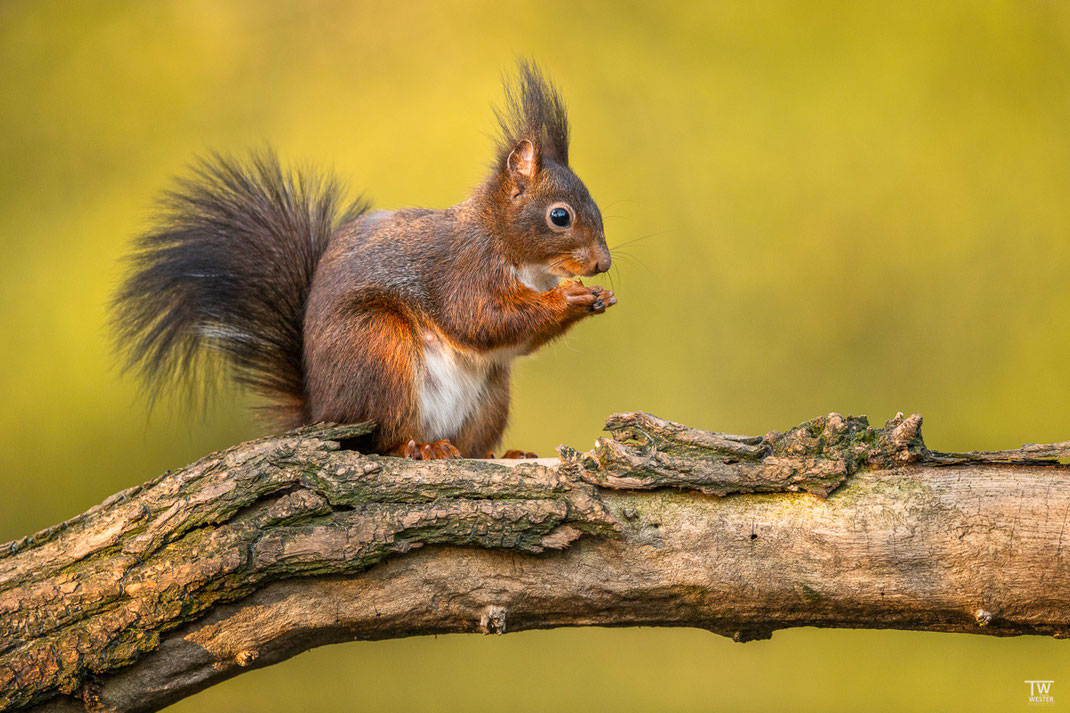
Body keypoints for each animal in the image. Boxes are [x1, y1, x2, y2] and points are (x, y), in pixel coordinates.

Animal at [112, 62, 616, 460]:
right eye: (559, 216)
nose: (603, 265)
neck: (516, 253)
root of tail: (325, 412)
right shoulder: (462, 268)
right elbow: (482, 318)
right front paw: (570, 299)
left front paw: (598, 298)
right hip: (379, 351)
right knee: (382, 438)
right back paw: (420, 447)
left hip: (490, 396)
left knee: (470, 445)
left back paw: (500, 455)